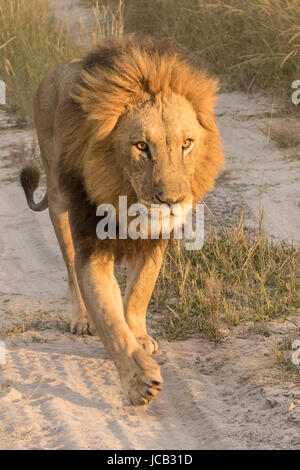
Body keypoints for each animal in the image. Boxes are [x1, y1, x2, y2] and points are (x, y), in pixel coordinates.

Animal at [19, 36, 223, 406]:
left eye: (186, 144)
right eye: (141, 146)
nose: (171, 201)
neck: (127, 202)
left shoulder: (155, 244)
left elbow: (139, 293)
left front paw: (139, 337)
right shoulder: (92, 249)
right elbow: (110, 320)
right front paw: (139, 381)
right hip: (58, 201)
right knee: (69, 266)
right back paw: (80, 320)